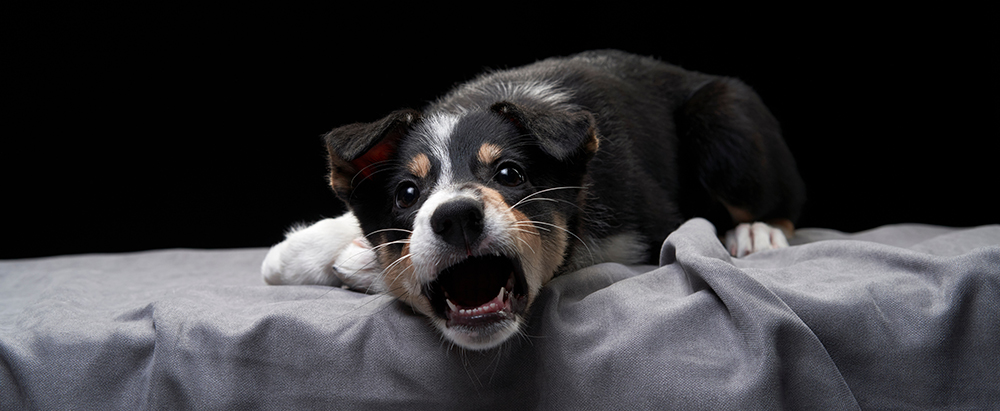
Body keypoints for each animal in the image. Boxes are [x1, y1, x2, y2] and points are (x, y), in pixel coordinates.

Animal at [260, 49, 804, 350]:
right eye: (408, 193)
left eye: (509, 174)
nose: (456, 217)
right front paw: (296, 254)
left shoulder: (636, 237)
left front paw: (357, 264)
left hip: (725, 119)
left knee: (781, 204)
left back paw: (757, 232)